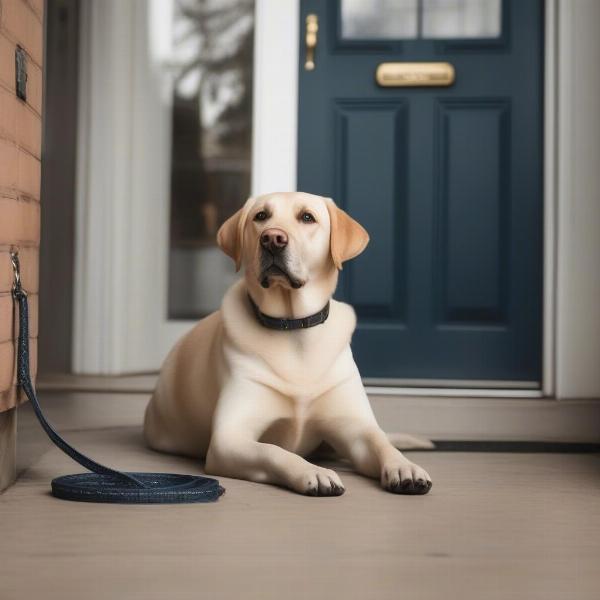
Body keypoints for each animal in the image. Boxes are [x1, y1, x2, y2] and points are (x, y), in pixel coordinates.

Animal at [148, 192, 434, 496]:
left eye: (307, 217)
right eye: (261, 216)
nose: (272, 239)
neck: (294, 328)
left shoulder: (356, 429)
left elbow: (381, 443)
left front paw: (405, 466)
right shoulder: (229, 437)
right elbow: (273, 451)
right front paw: (312, 472)